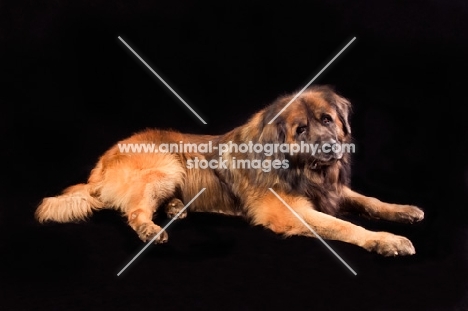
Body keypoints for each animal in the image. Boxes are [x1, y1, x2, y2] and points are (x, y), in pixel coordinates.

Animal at [35, 84, 424, 256]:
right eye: (300, 130)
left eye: (327, 120)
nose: (330, 147)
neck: (302, 169)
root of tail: (99, 165)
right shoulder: (291, 211)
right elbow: (345, 225)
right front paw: (384, 240)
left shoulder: (334, 190)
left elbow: (370, 201)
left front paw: (402, 210)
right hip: (167, 164)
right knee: (133, 211)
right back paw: (151, 229)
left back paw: (175, 208)